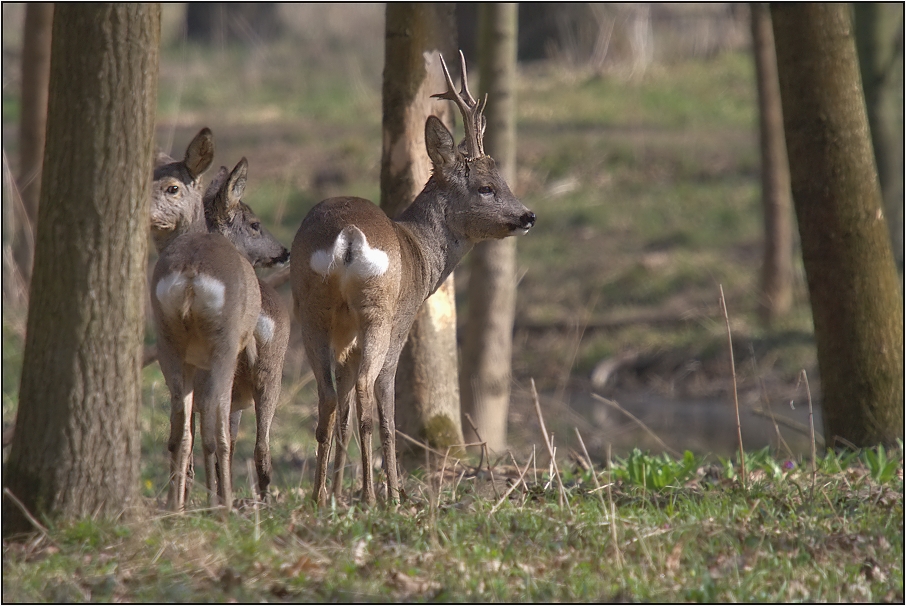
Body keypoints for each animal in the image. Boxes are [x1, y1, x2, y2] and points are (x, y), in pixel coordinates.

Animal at [148, 131, 288, 516]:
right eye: (255, 224)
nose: (284, 252)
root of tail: (192, 276)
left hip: (171, 346)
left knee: (182, 432)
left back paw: (180, 504)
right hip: (254, 363)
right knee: (250, 444)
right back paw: (239, 504)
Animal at [290, 53, 532, 508]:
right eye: (487, 187)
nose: (529, 215)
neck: (420, 251)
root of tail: (347, 237)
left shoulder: (344, 338)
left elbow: (342, 411)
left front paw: (337, 491)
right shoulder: (403, 320)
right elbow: (384, 407)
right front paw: (393, 493)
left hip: (310, 307)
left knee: (328, 396)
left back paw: (317, 496)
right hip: (379, 310)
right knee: (369, 391)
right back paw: (373, 496)